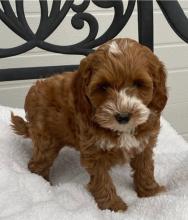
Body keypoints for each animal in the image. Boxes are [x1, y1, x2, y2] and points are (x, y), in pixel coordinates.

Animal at [11, 38, 167, 212]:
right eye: (103, 86)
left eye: (138, 84)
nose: (123, 116)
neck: (122, 130)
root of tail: (33, 90)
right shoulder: (94, 150)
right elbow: (102, 180)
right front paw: (114, 206)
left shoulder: (144, 144)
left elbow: (145, 168)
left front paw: (150, 192)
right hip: (46, 140)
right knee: (37, 164)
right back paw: (44, 186)